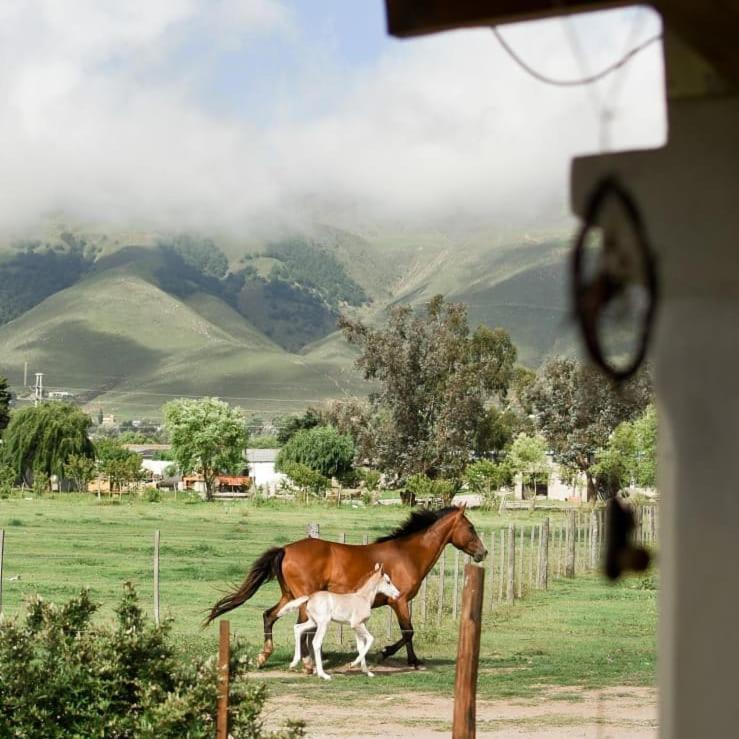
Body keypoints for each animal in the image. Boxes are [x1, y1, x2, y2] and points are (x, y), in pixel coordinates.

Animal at [207, 506, 486, 668]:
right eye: (471, 528)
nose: (483, 552)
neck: (407, 554)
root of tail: (285, 549)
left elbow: (407, 632)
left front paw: (405, 658)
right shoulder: (399, 601)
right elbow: (408, 631)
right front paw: (396, 656)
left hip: (290, 596)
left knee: (269, 616)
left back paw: (263, 657)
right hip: (304, 598)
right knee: (300, 627)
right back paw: (307, 663)